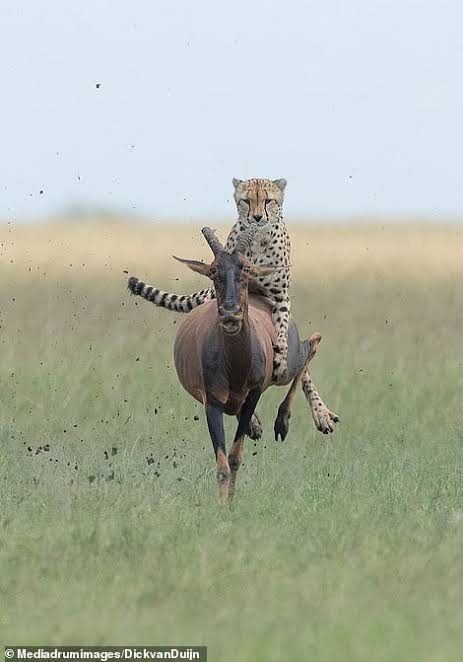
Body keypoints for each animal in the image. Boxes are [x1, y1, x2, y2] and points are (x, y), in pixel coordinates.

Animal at [128, 178, 339, 434]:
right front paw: (252, 419)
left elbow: (282, 340)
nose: (257, 218)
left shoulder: (280, 298)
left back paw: (319, 413)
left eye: (268, 201)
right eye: (246, 201)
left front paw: (280, 362)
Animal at [129, 227, 322, 502]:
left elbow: (234, 459)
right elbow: (222, 465)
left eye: (245, 269)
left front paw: (229, 505)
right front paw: (223, 505)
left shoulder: (253, 395)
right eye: (213, 271)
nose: (230, 314)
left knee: (312, 343)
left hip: (285, 367)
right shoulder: (212, 404)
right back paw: (261, 425)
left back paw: (286, 421)